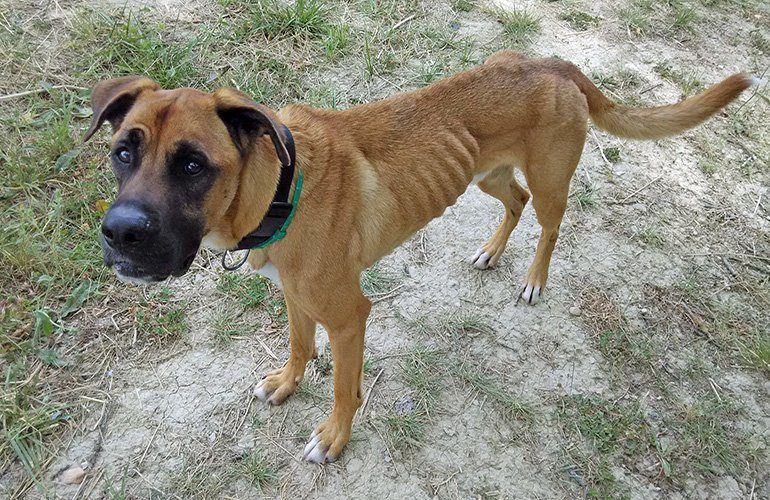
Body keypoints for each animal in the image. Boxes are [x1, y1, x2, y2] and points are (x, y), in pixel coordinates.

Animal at [84, 51, 758, 463]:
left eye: (193, 165)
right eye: (123, 152)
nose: (118, 234)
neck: (281, 187)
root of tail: (551, 61)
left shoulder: (349, 316)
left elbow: (344, 389)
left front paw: (333, 439)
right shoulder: (295, 296)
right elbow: (300, 346)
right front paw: (286, 383)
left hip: (550, 182)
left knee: (550, 224)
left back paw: (534, 278)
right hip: (486, 175)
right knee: (512, 203)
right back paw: (490, 251)